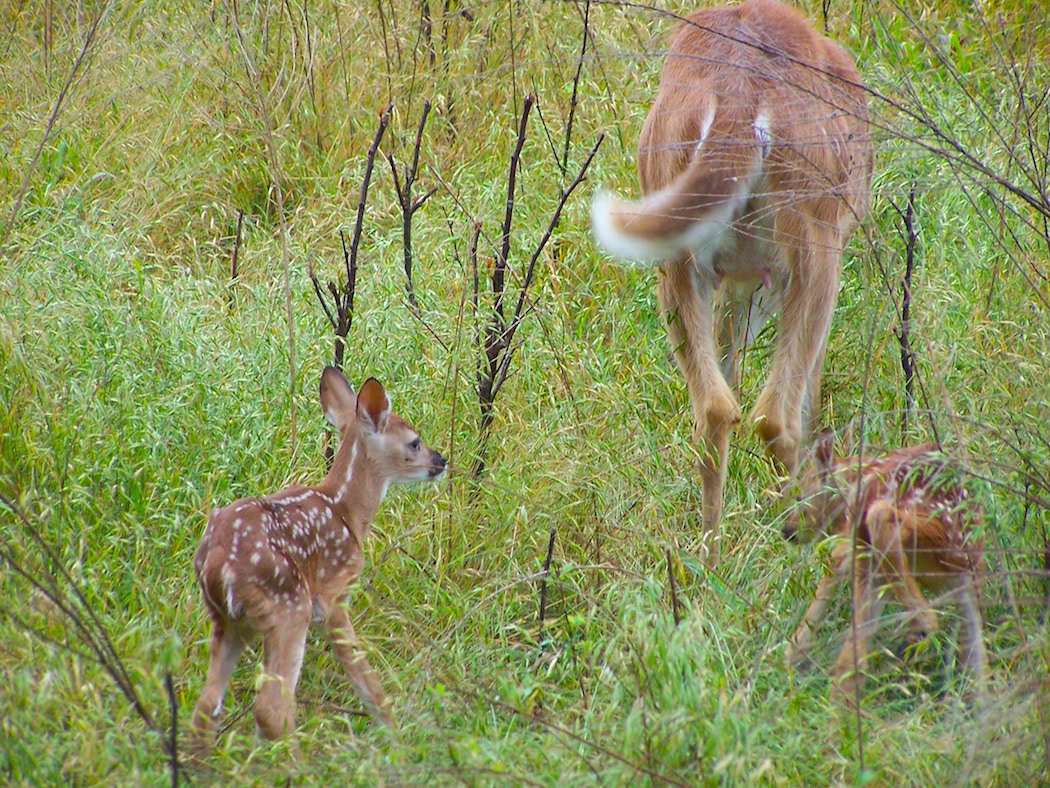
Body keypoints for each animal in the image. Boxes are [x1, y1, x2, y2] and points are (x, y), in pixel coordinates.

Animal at [592, 0, 869, 563]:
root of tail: (741, 99)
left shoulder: (737, 280)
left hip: (679, 253)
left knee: (715, 408)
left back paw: (710, 559)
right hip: (814, 242)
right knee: (775, 416)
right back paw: (802, 541)